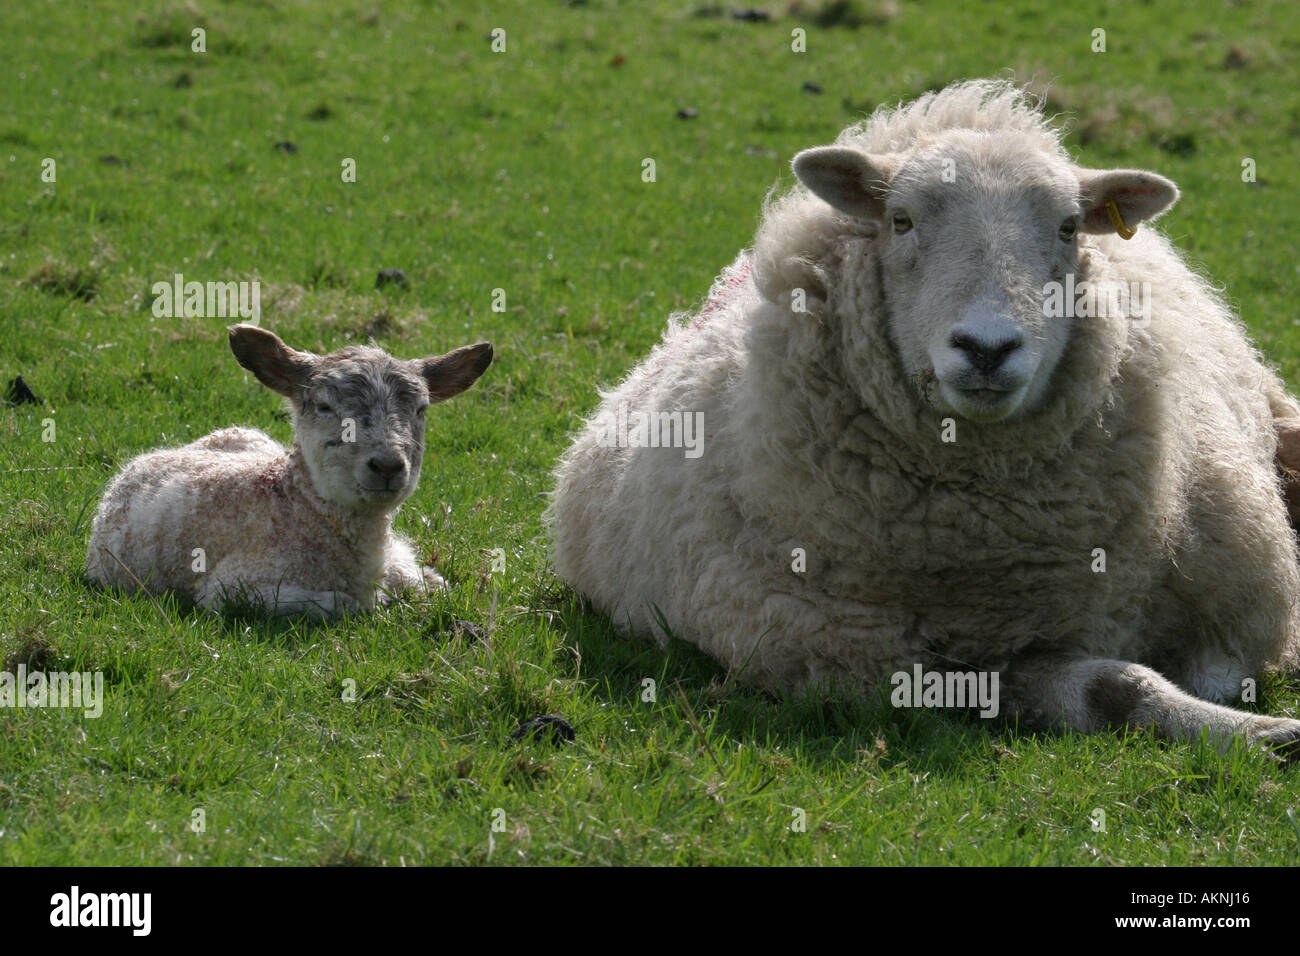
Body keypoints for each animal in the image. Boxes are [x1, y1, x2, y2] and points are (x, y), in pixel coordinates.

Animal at [87, 325, 492, 619]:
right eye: (325, 406)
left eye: (421, 409)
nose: (388, 465)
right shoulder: (231, 587)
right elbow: (348, 603)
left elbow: (433, 584)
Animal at [548, 78, 1300, 760]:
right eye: (901, 220)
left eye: (1067, 227)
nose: (987, 348)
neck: (988, 550)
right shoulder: (890, 668)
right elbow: (1111, 687)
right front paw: (1259, 734)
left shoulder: (1236, 614)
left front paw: (1255, 728)